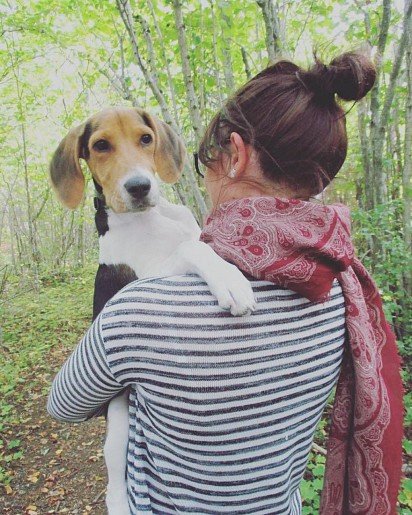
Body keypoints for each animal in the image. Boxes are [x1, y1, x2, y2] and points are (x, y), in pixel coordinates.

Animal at [50, 108, 256, 515]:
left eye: (146, 138)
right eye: (100, 145)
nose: (139, 187)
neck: (151, 218)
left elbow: (196, 241)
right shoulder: (146, 278)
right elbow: (192, 249)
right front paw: (229, 278)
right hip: (119, 423)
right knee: (115, 480)